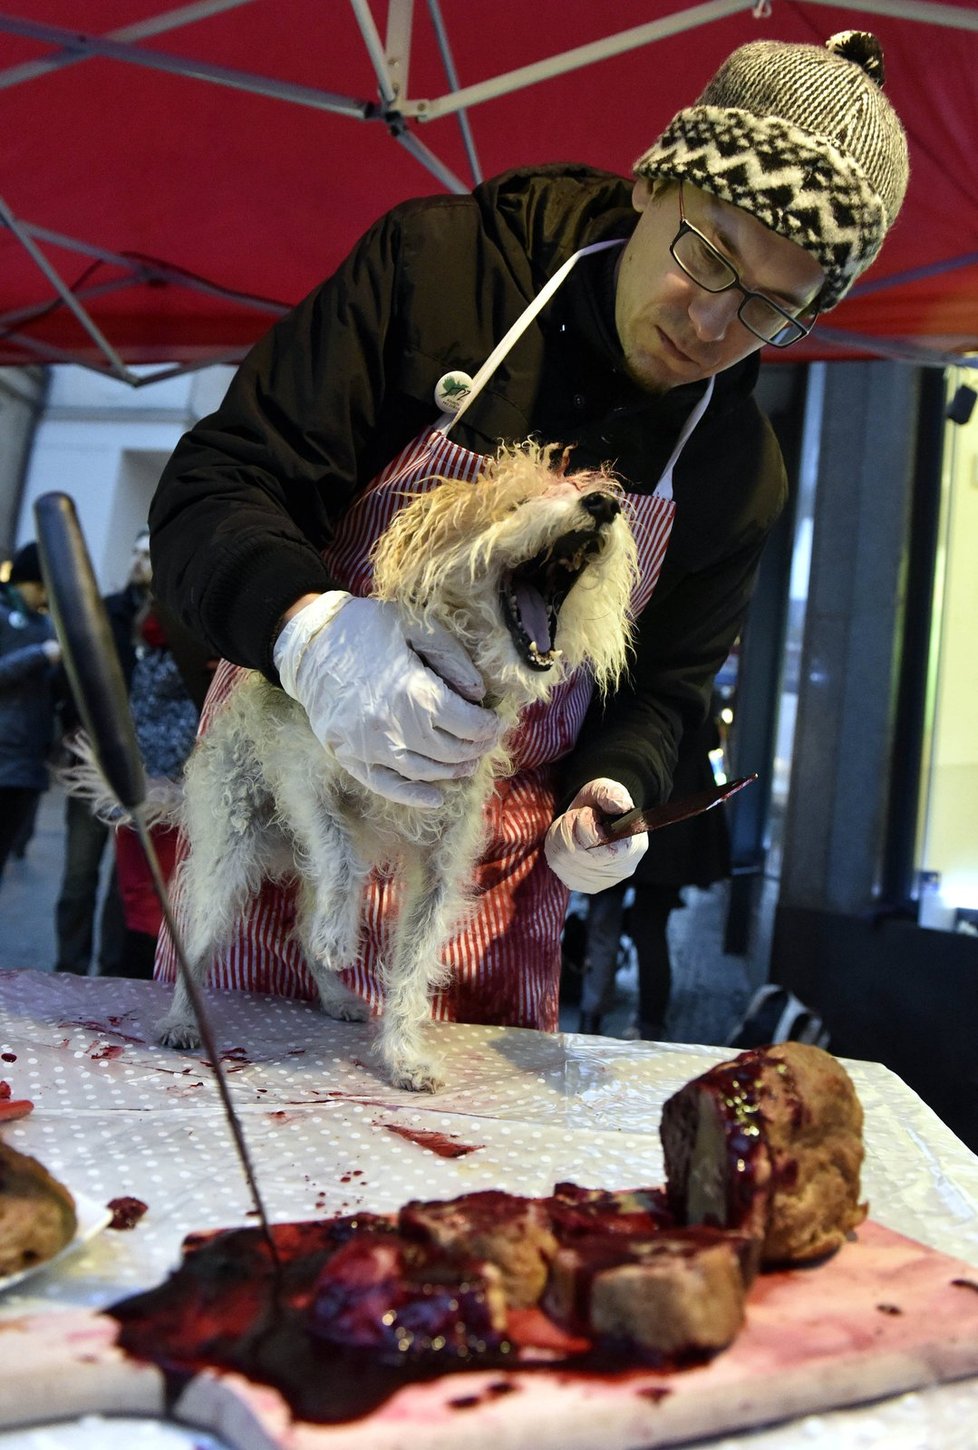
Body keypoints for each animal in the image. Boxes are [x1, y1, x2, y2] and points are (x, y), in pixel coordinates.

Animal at [146, 440, 632, 1090]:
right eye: (516, 504)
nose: (603, 503)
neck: (446, 678)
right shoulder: (305, 776)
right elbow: (341, 853)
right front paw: (340, 935)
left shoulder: (443, 859)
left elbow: (413, 963)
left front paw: (402, 1054)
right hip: (230, 848)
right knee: (203, 938)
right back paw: (183, 1019)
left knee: (302, 933)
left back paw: (335, 994)